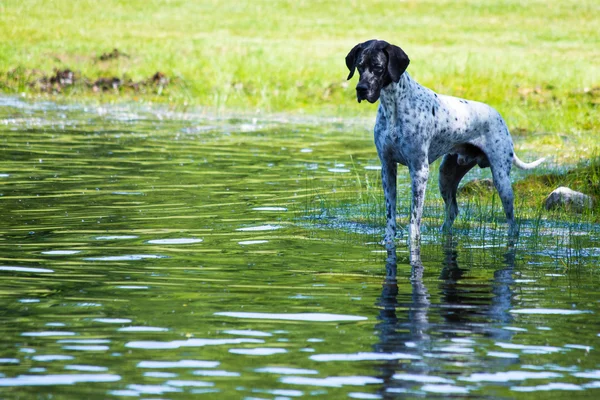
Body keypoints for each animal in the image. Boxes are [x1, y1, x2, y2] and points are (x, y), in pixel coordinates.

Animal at [344, 39, 548, 247]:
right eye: (359, 66)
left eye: (378, 67)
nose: (361, 89)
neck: (394, 107)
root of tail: (498, 116)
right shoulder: (388, 168)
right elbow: (390, 215)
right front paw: (388, 241)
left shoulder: (419, 170)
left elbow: (414, 219)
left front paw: (413, 244)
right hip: (446, 177)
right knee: (452, 211)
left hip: (502, 181)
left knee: (512, 223)